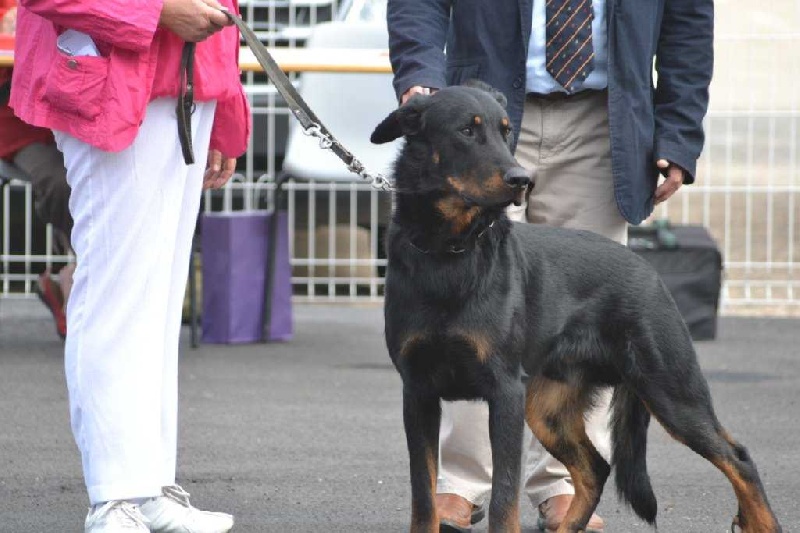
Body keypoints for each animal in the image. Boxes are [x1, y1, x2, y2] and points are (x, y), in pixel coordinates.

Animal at [374, 80, 780, 532]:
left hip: (670, 390)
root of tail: (648, 269)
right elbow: (424, 496)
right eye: (466, 130)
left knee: (737, 458)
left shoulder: (504, 392)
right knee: (595, 468)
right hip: (546, 408)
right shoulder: (419, 393)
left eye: (506, 131)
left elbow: (503, 499)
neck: (450, 251)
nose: (522, 179)